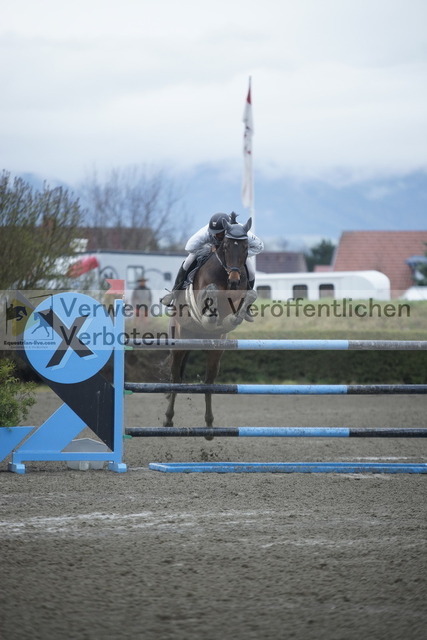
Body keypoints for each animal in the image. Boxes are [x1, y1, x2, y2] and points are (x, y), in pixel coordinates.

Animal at [164, 218, 258, 432]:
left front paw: (234, 318)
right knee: (175, 379)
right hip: (179, 345)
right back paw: (168, 420)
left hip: (215, 352)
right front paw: (211, 316)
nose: (235, 279)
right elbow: (211, 291)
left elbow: (248, 296)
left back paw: (209, 425)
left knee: (209, 383)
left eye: (246, 247)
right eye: (226, 246)